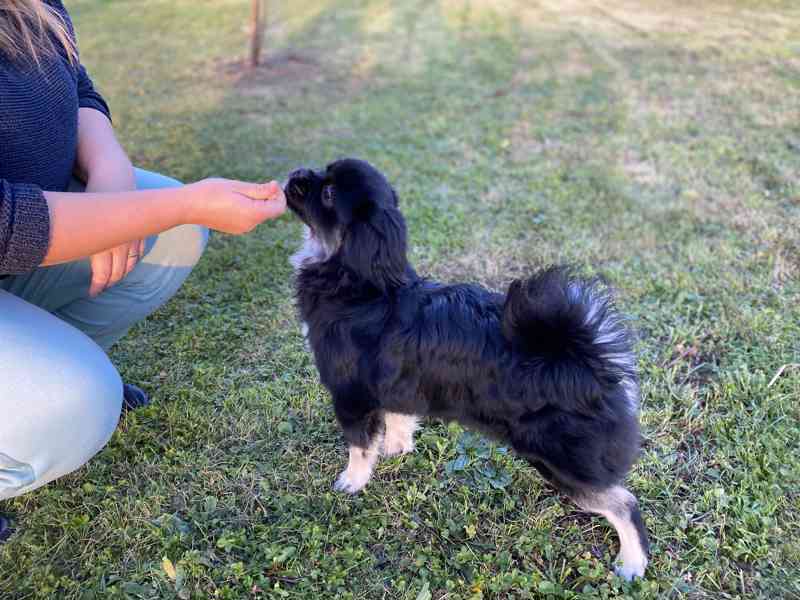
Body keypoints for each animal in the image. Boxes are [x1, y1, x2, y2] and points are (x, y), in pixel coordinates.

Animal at [288, 157, 648, 580]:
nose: (296, 175)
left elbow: (359, 448)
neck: (360, 286)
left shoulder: (350, 397)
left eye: (327, 193)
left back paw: (632, 564)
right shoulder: (397, 386)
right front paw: (396, 448)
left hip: (561, 462)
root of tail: (590, 361)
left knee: (625, 503)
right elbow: (399, 419)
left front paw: (352, 482)